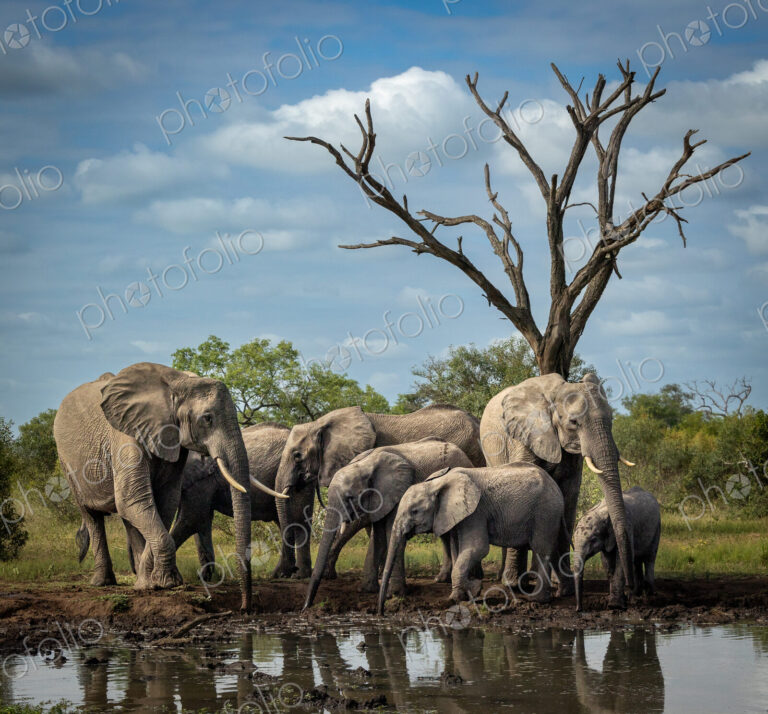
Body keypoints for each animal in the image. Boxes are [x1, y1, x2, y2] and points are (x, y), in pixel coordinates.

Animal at [274, 404, 484, 579]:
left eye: (297, 455)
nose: (290, 572)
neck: (321, 423)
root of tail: (474, 419)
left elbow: (360, 519)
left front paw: (327, 575)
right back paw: (447, 577)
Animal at [303, 437, 474, 609]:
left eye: (350, 497)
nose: (307, 606)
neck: (366, 465)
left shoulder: (399, 493)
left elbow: (391, 532)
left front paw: (395, 594)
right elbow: (378, 536)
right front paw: (367, 590)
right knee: (445, 534)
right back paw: (442, 579)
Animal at [378, 464, 565, 612]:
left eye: (414, 511)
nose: (381, 612)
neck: (437, 484)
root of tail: (555, 486)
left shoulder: (475, 512)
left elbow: (478, 548)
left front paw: (471, 591)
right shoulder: (456, 516)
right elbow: (456, 550)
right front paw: (460, 596)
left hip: (545, 512)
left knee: (542, 550)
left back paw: (537, 600)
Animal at [479, 372, 636, 599]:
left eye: (611, 420)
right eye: (574, 422)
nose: (630, 589)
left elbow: (568, 500)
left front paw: (565, 588)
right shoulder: (524, 436)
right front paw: (513, 585)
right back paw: (512, 580)